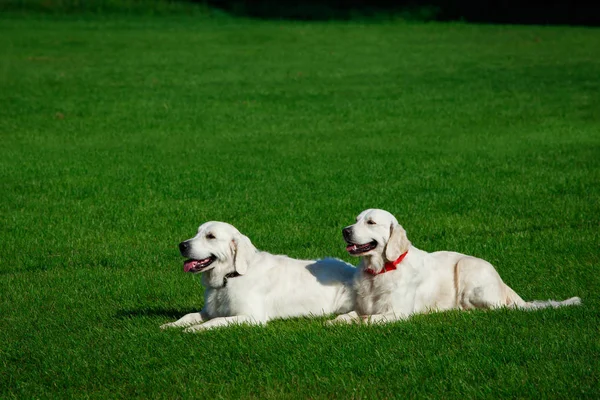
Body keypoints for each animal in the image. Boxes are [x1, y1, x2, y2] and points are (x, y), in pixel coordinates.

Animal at [161, 222, 356, 332]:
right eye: (197, 233)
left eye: (211, 236)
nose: (182, 245)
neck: (230, 277)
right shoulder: (209, 310)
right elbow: (189, 315)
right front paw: (171, 325)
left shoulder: (251, 317)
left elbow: (217, 320)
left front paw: (195, 329)